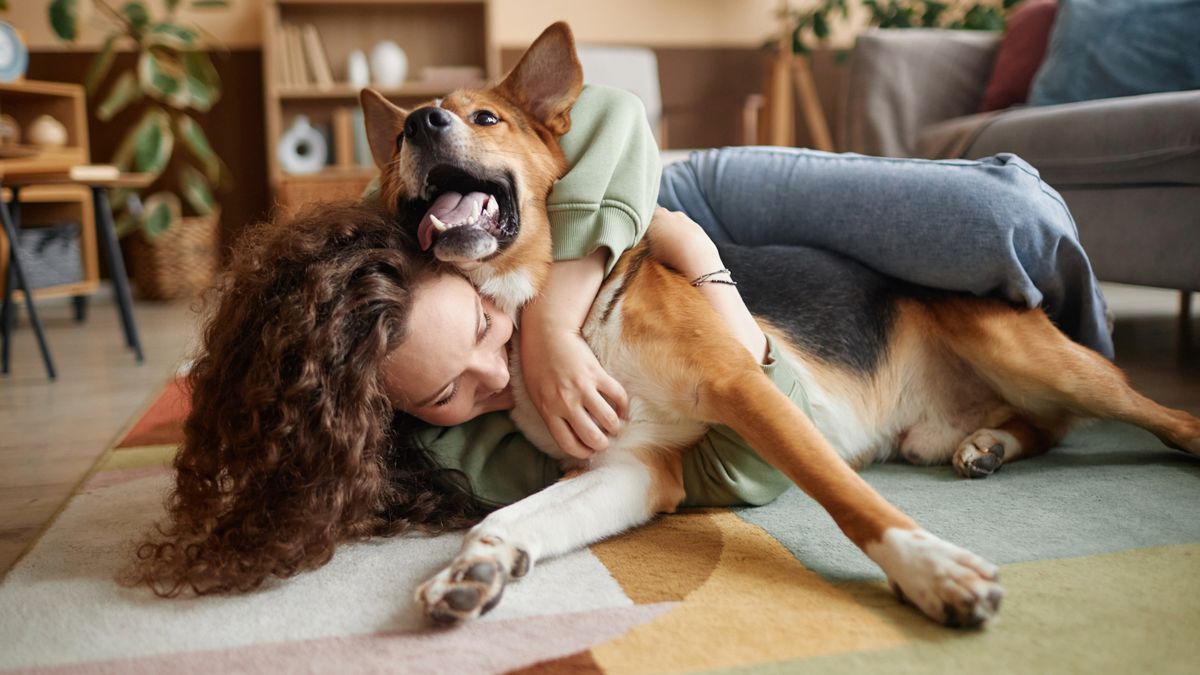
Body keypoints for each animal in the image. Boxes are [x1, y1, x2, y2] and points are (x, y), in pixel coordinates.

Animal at [357, 21, 1200, 629]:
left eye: (485, 117)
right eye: (399, 141)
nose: (422, 121)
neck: (555, 314)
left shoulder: (744, 386)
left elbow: (850, 500)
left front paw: (930, 568)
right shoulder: (630, 466)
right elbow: (513, 515)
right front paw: (477, 565)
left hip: (1031, 354)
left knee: (1153, 414)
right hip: (949, 421)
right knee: (1042, 427)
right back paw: (989, 444)